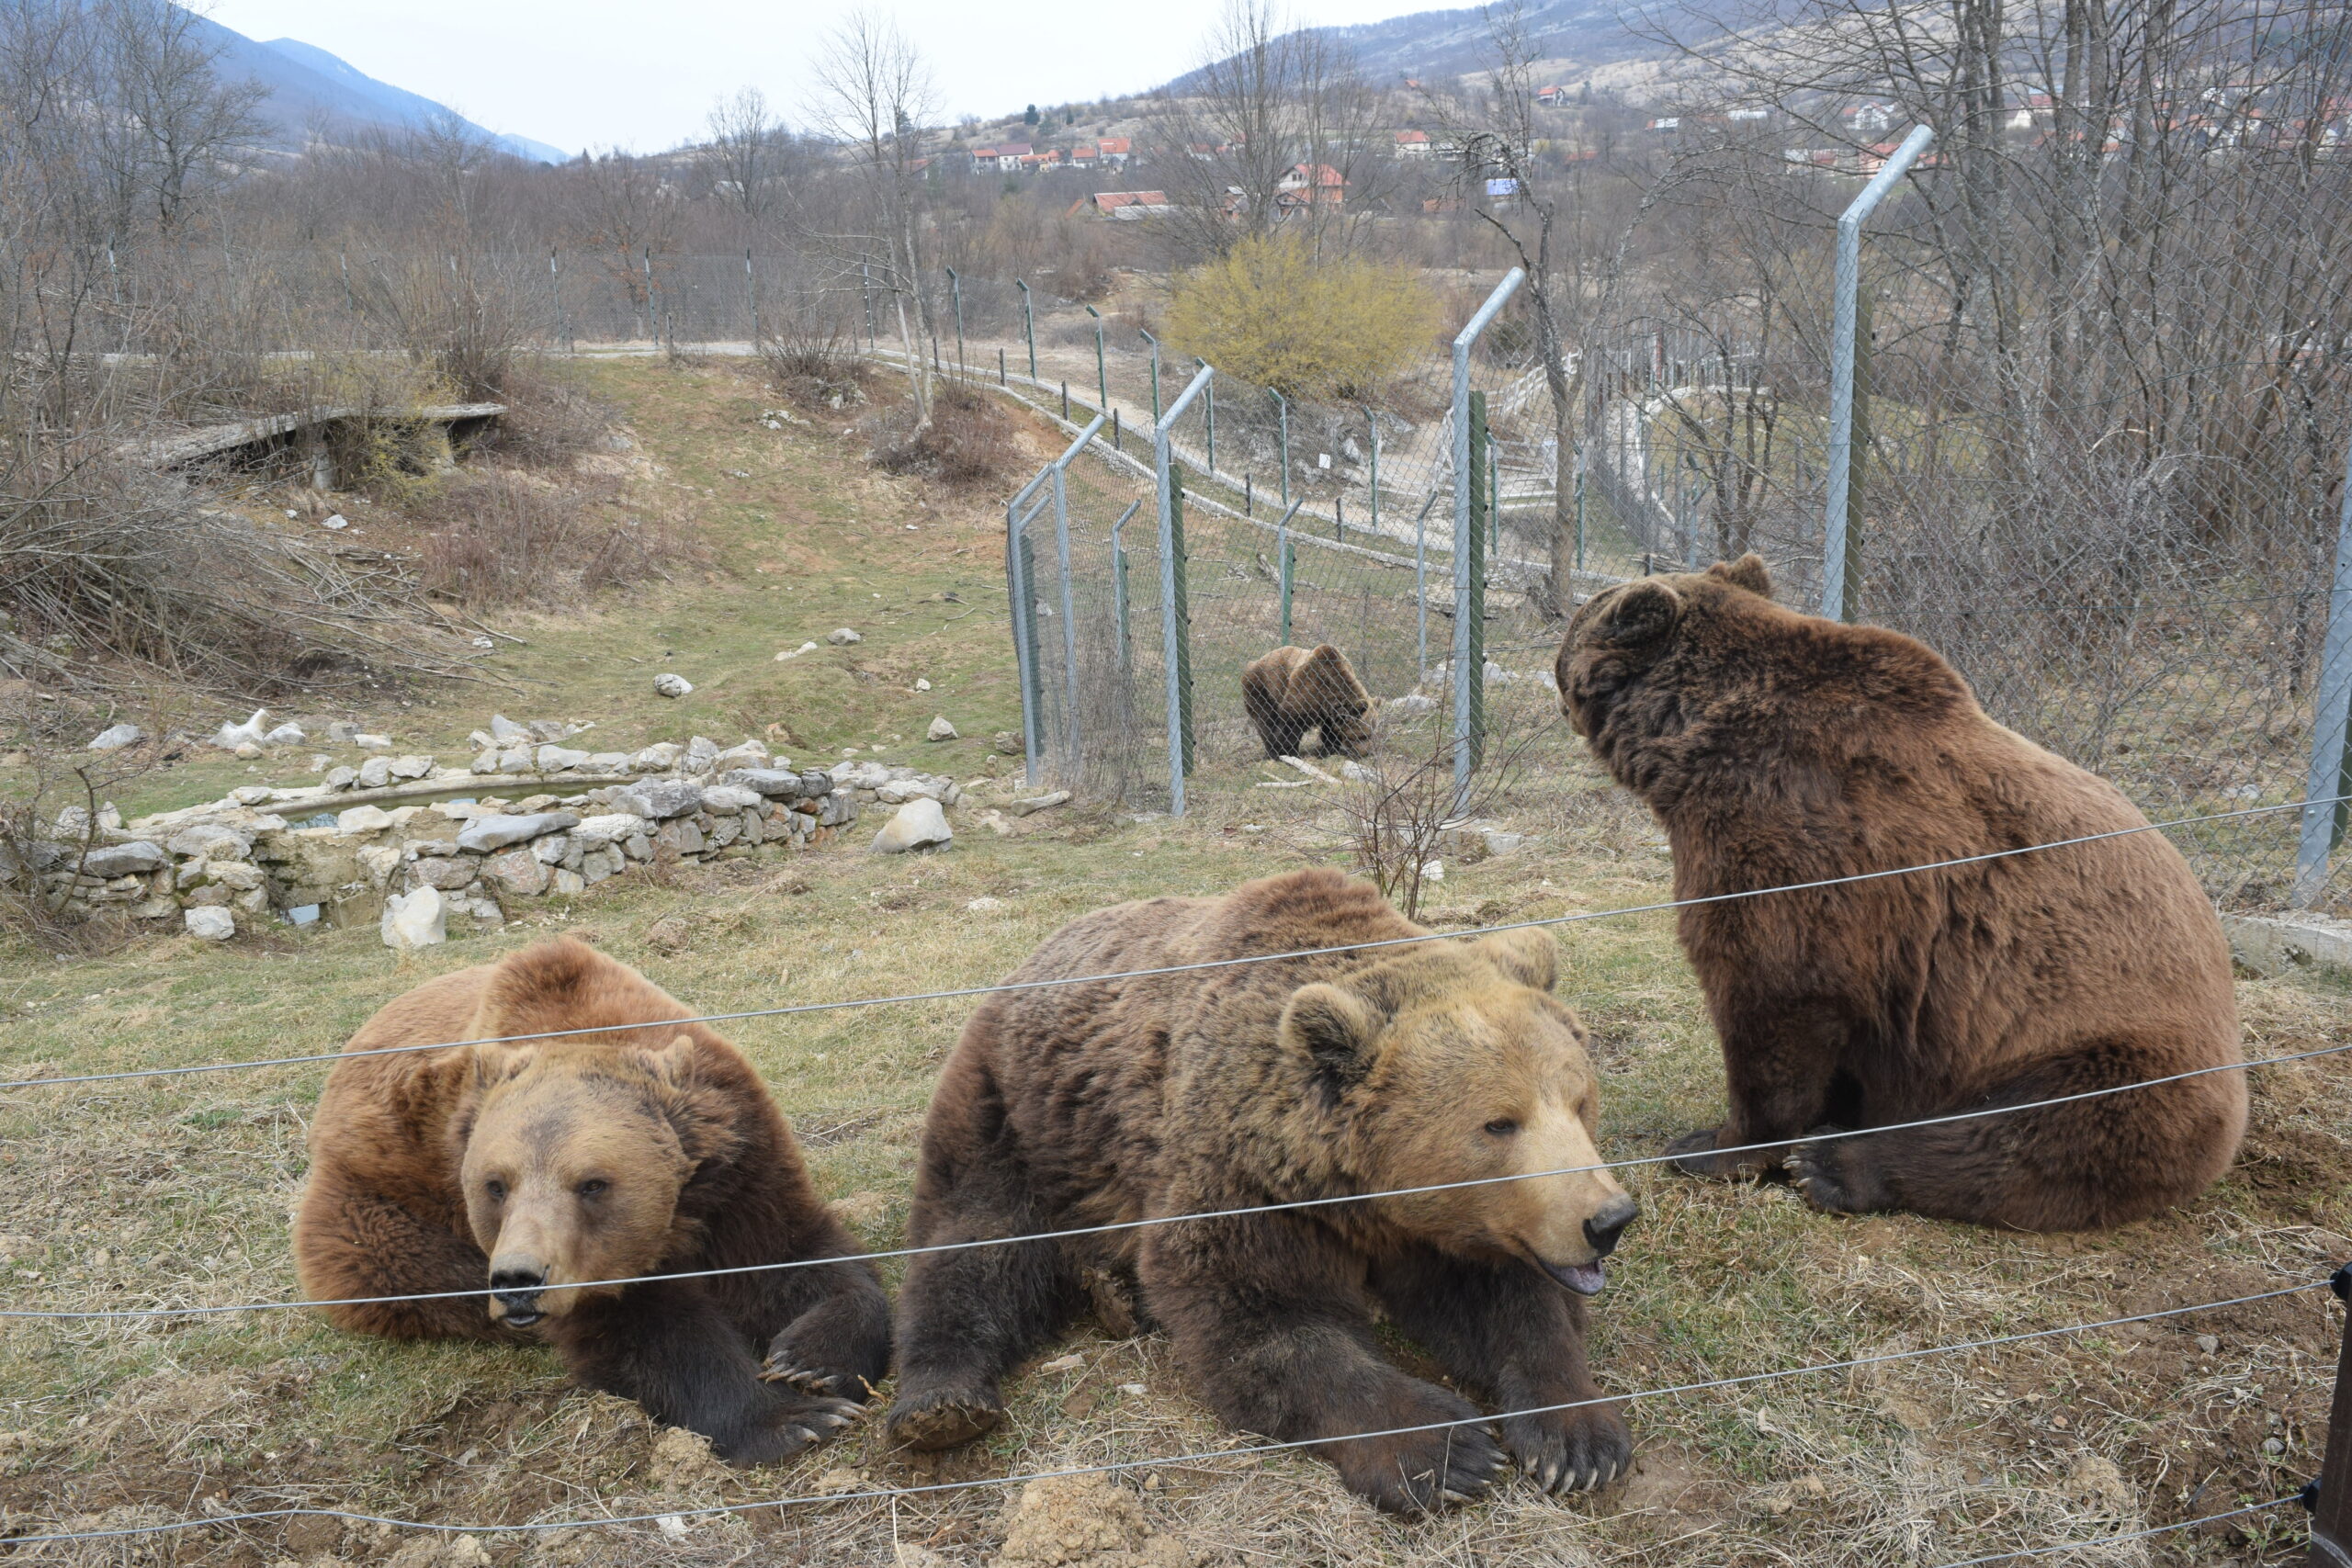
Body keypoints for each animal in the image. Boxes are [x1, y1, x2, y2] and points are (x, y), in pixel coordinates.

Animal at [884, 864, 1636, 1514]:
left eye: (1579, 1100)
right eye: (1499, 1121)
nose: (1608, 1217)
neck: (1357, 1192)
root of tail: (1035, 954)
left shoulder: (1446, 1225)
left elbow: (1508, 1301)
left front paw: (1577, 1440)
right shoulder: (1245, 1181)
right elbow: (1263, 1317)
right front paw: (1446, 1450)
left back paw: (1115, 1296)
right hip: (1020, 1111)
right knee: (978, 1239)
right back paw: (942, 1401)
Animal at [1241, 639, 1374, 757]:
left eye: (1369, 734)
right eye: (1360, 736)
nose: (1365, 752)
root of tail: (1254, 662)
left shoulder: (1328, 710)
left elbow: (1330, 730)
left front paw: (1328, 750)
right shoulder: (1306, 689)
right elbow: (1291, 723)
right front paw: (1289, 751)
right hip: (1260, 687)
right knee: (1265, 720)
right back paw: (1271, 752)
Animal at [1552, 557, 2248, 1232]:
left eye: (1581, 616)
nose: (1558, 636)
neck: (1687, 749)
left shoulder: (1795, 842)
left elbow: (1772, 992)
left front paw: (1711, 1145)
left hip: (2108, 1051)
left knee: (2032, 1134)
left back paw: (1835, 1165)